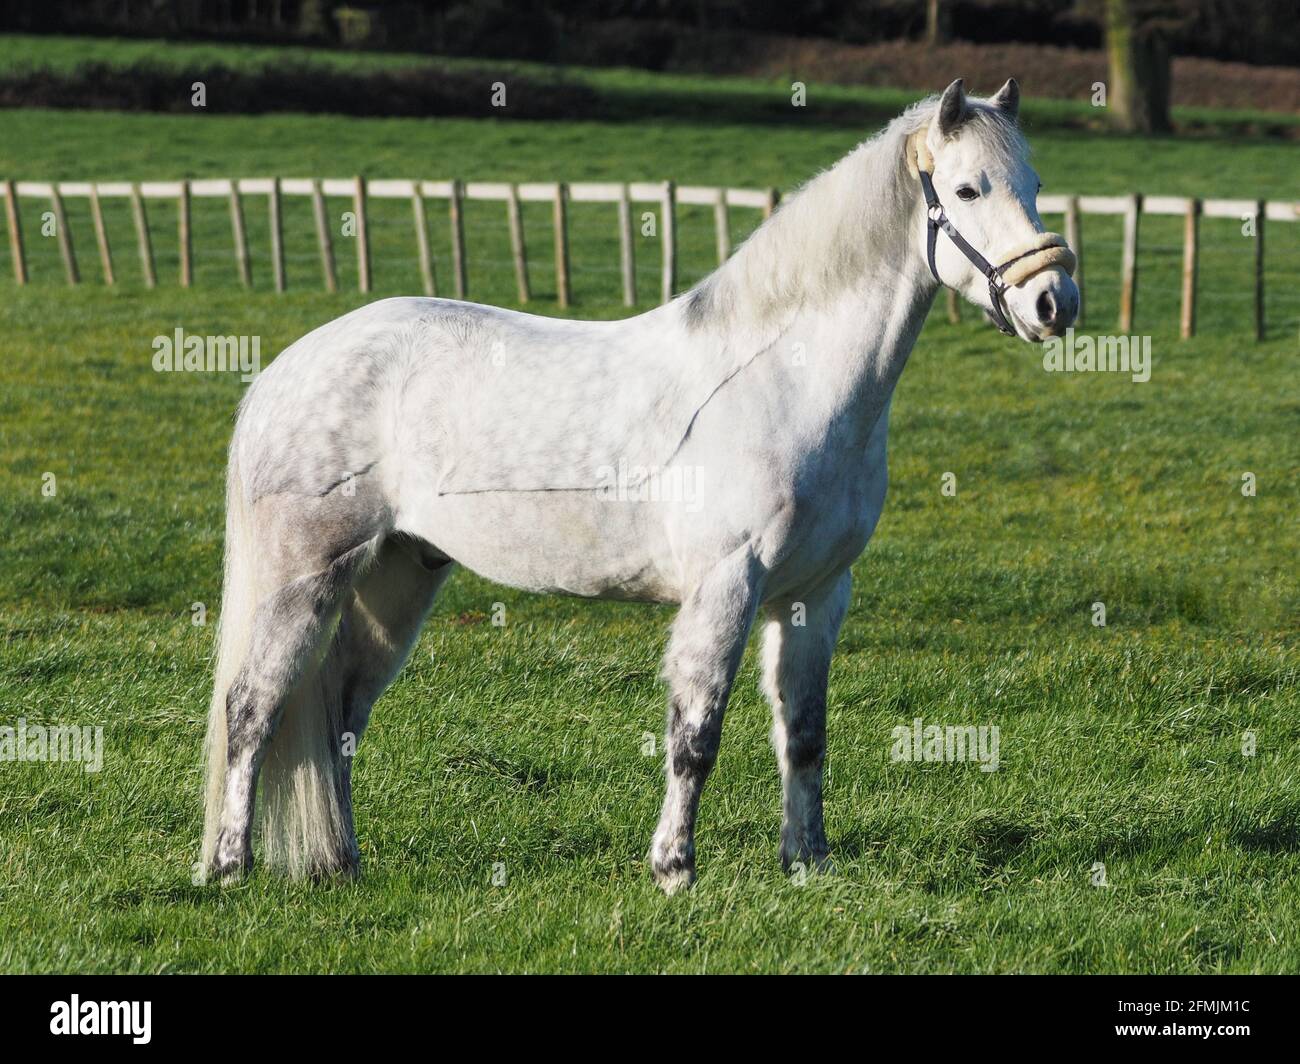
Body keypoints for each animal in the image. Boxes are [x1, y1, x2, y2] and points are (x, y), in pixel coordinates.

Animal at [200, 78, 1076, 889]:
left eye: (1033, 183)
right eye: (967, 189)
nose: (1054, 301)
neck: (783, 379)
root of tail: (285, 369)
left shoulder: (816, 596)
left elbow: (804, 735)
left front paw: (808, 864)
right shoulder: (725, 586)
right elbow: (696, 736)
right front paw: (674, 869)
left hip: (397, 578)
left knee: (341, 714)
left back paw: (343, 864)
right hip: (304, 575)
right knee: (252, 707)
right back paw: (229, 869)